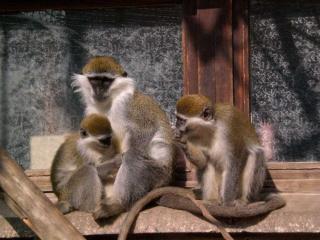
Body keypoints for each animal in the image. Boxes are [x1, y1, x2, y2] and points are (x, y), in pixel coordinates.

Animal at [71, 55, 174, 218]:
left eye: (106, 81)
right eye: (94, 80)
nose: (99, 90)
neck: (110, 102)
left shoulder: (129, 104)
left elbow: (145, 131)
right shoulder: (91, 112)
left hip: (158, 174)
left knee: (132, 156)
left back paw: (116, 205)